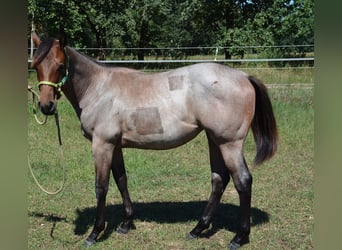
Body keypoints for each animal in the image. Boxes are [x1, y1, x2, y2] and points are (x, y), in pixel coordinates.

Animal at [30, 32, 278, 249]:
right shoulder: (115, 146)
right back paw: (198, 229)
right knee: (219, 180)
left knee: (243, 181)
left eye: (60, 66)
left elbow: (101, 187)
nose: (46, 106)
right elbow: (121, 180)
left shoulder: (102, 145)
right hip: (214, 140)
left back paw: (239, 237)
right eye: (36, 66)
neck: (98, 88)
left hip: (229, 144)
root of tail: (244, 76)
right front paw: (126, 223)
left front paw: (95, 233)